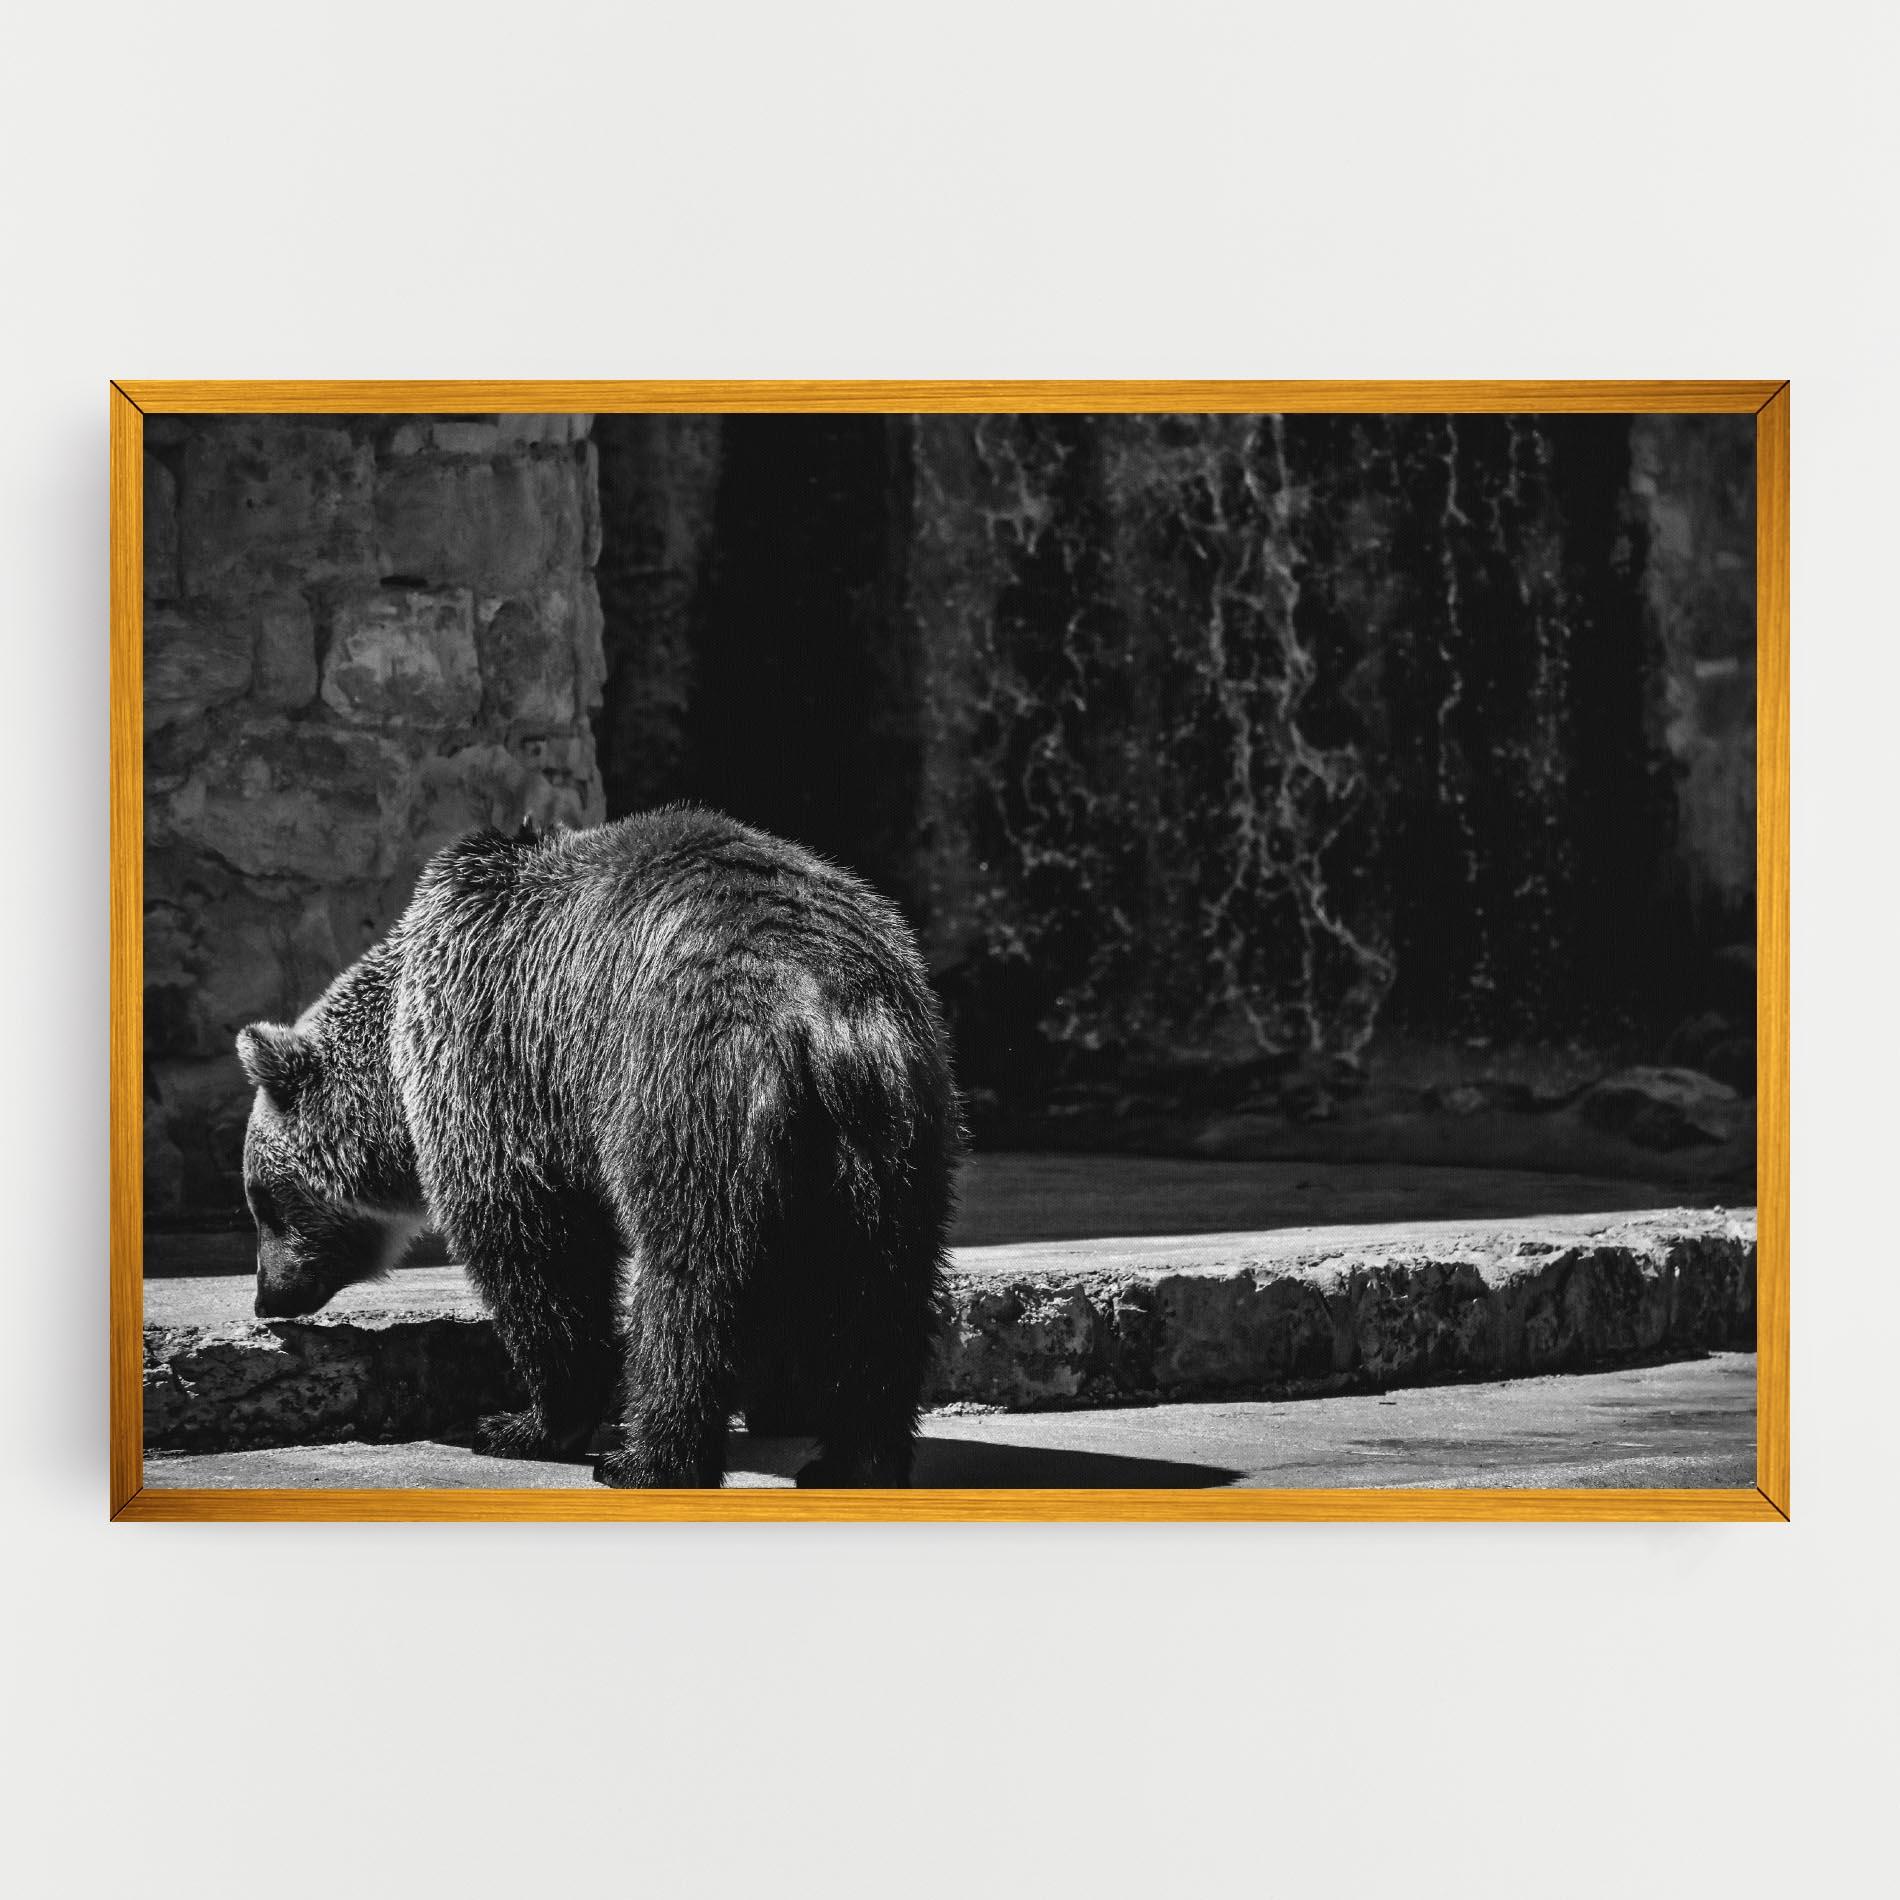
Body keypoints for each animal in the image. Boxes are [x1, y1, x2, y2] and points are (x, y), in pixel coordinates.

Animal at [235, 806, 961, 1487]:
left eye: (263, 1200)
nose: (267, 1297)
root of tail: (827, 1008)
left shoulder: (502, 1060)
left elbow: (537, 1250)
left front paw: (520, 1423)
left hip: (688, 1091)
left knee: (691, 1285)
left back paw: (647, 1460)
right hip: (897, 1133)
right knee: (882, 1292)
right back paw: (854, 1462)